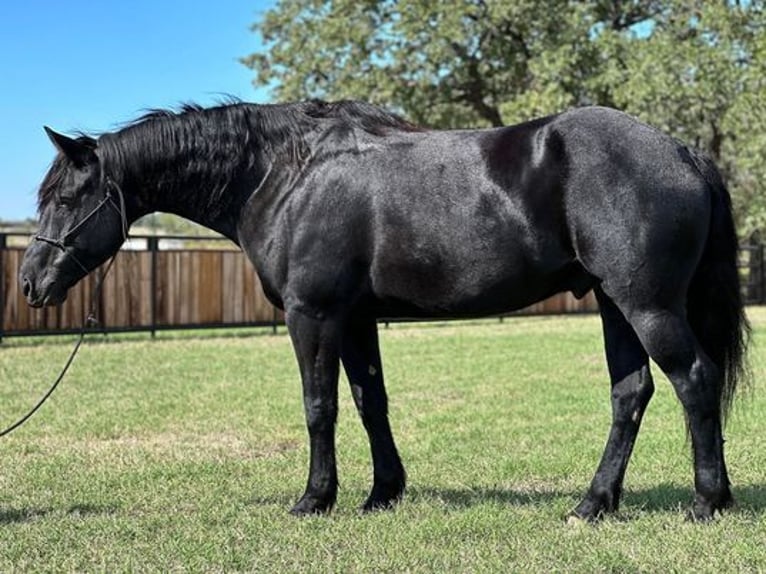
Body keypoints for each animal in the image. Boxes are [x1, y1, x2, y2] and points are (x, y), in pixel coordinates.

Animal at [19, 101, 752, 524]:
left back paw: (706, 502)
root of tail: (682, 152)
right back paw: (592, 505)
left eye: (64, 197)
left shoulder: (313, 315)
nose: (30, 283)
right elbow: (371, 401)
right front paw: (382, 493)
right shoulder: (356, 318)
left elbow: (320, 406)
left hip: (644, 303)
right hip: (611, 303)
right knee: (631, 393)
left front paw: (315, 499)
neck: (286, 175)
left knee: (694, 380)